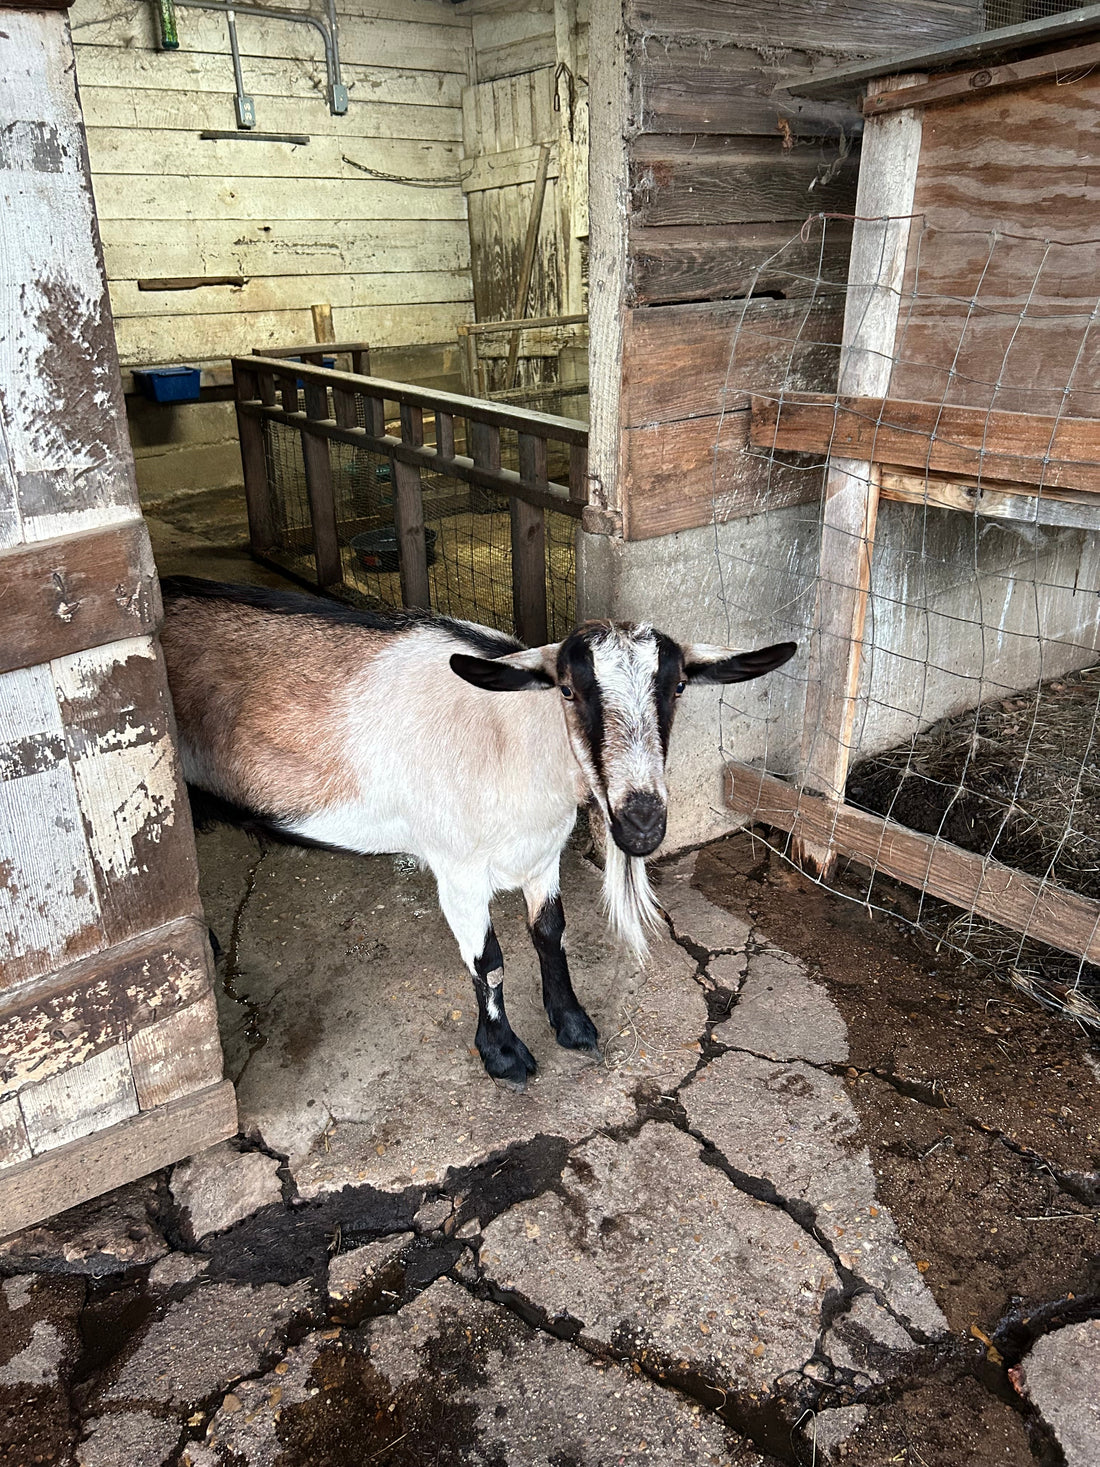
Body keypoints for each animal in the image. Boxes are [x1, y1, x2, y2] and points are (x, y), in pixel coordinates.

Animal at [159, 577, 795, 1088]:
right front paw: (505, 1056)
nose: (641, 823)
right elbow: (488, 960)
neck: (511, 742)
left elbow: (549, 933)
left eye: (678, 687)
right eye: (568, 690)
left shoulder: (543, 854)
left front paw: (573, 1024)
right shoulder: (456, 869)